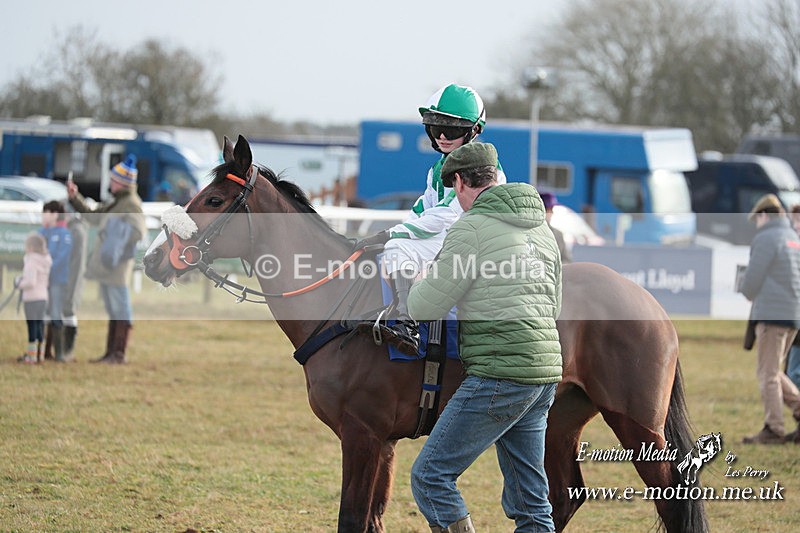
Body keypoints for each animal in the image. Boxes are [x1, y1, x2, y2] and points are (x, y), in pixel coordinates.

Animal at [143, 135, 708, 532]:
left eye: (215, 199)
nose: (152, 259)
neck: (344, 303)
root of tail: (650, 303)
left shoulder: (362, 435)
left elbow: (352, 518)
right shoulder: (385, 442)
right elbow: (372, 518)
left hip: (637, 423)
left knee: (673, 498)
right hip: (558, 419)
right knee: (561, 498)